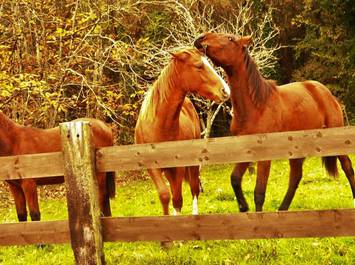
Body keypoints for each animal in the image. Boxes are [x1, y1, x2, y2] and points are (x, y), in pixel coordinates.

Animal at [134, 47, 231, 216]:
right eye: (199, 66)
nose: (225, 90)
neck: (159, 126)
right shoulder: (152, 167)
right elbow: (165, 195)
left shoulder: (177, 167)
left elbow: (178, 200)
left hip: (190, 165)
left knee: (194, 189)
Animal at [195, 32, 355, 210]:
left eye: (230, 38)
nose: (201, 39)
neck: (256, 106)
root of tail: (325, 92)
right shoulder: (246, 152)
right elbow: (235, 179)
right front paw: (244, 208)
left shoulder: (264, 156)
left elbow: (259, 193)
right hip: (297, 150)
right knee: (295, 177)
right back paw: (282, 210)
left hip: (336, 141)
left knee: (347, 167)